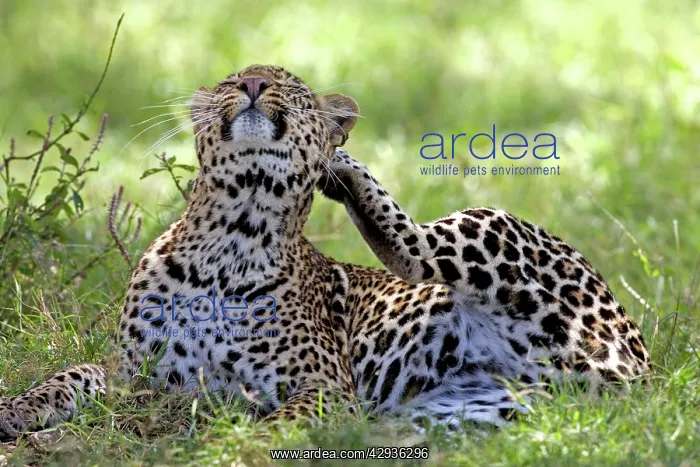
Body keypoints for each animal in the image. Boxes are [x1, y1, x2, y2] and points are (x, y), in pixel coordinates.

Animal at [0, 64, 649, 441]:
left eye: (289, 85)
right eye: (233, 78)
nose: (253, 87)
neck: (230, 240)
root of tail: (644, 372)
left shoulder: (321, 388)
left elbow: (275, 424)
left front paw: (232, 445)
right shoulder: (133, 375)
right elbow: (66, 379)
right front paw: (15, 413)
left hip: (494, 226)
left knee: (413, 250)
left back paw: (343, 169)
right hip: (471, 413)